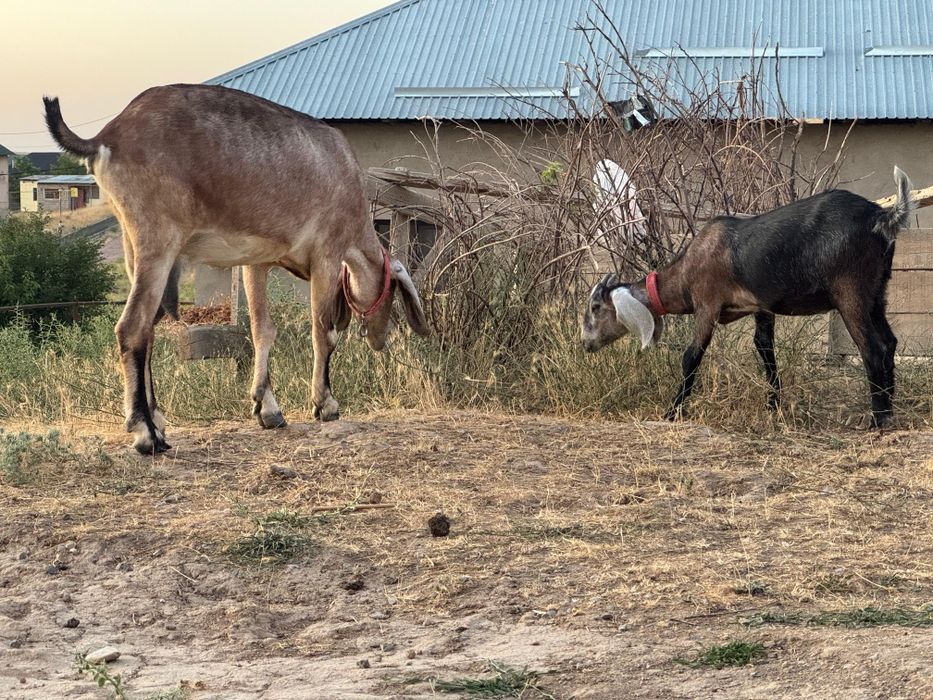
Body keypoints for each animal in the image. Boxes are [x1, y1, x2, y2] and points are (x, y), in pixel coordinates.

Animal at [44, 84, 429, 454]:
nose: (380, 340)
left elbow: (262, 331)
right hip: (157, 239)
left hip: (131, 246)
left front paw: (268, 408)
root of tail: (107, 137)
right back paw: (146, 433)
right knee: (133, 327)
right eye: (393, 292)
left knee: (148, 332)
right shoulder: (327, 254)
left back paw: (158, 420)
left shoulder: (256, 261)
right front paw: (325, 403)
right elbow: (324, 331)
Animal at [582, 168, 915, 428]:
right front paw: (773, 405)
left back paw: (878, 419)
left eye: (596, 307)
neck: (688, 268)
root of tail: (882, 216)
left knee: (871, 348)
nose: (586, 344)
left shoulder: (707, 304)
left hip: (850, 291)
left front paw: (672, 412)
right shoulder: (761, 306)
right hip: (877, 292)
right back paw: (889, 407)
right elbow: (765, 349)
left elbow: (691, 356)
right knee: (889, 343)